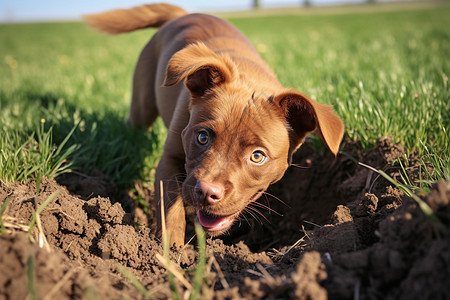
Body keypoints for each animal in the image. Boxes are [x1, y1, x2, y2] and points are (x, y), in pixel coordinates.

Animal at [85, 3, 344, 246]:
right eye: (202, 137)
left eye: (257, 156)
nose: (207, 193)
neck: (250, 78)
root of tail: (183, 14)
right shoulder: (169, 160)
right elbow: (170, 210)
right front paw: (171, 253)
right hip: (143, 101)